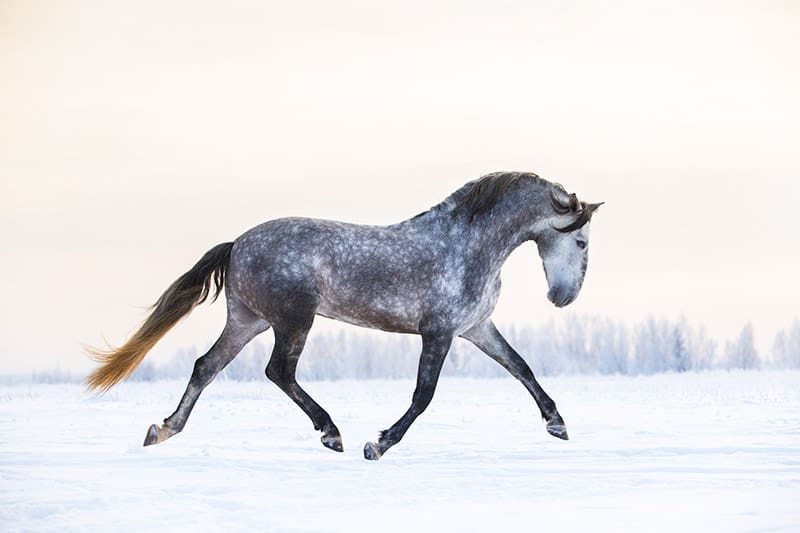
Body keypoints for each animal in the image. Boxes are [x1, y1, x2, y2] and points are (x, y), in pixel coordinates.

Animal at [87, 172, 600, 460]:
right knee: (278, 371)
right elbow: (424, 395)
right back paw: (331, 434)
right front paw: (378, 444)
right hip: (294, 320)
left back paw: (163, 430)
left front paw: (557, 424)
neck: (469, 245)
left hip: (248, 320)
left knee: (206, 367)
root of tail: (237, 244)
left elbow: (521, 368)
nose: (563, 298)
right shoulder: (438, 332)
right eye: (580, 241)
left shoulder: (476, 328)